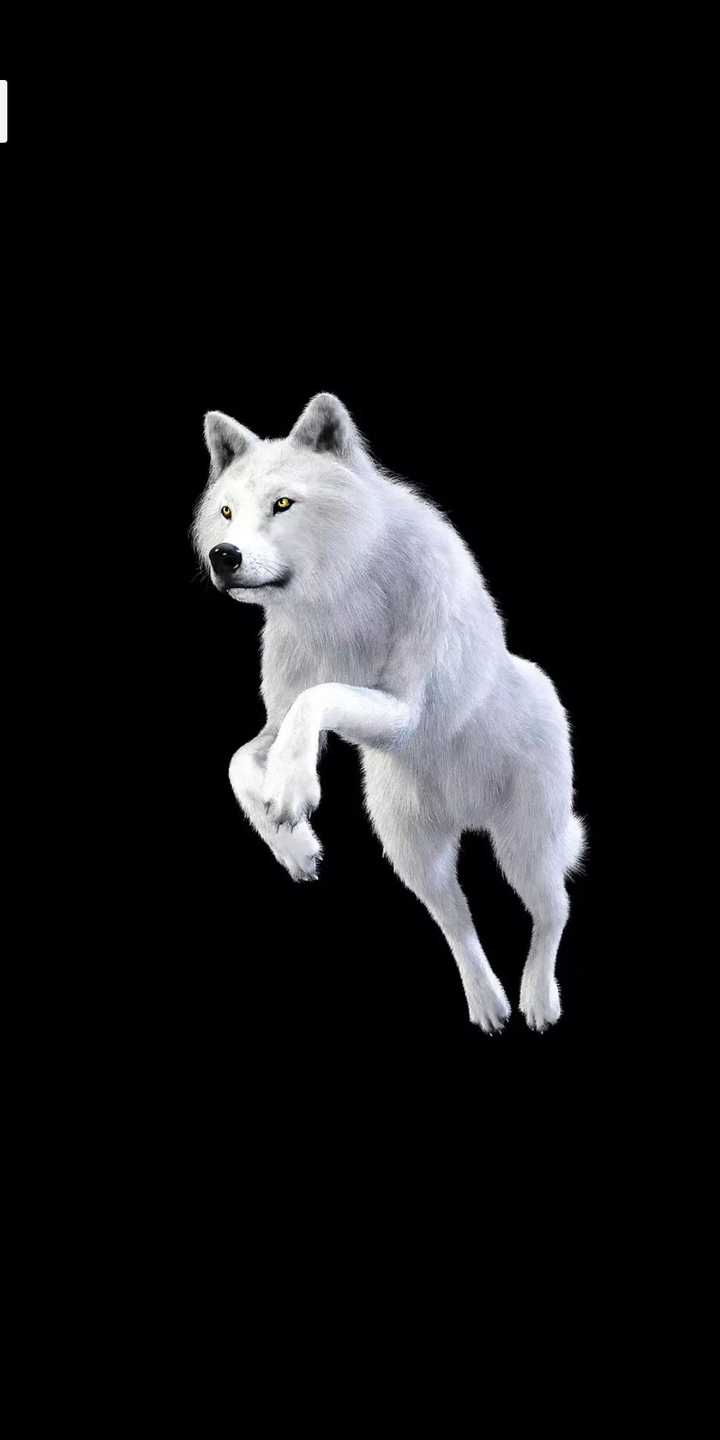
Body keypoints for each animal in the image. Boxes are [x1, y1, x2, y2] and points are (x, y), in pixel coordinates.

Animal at [192, 393, 585, 1032]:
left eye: (282, 503)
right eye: (226, 512)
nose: (223, 557)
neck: (342, 596)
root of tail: (468, 814)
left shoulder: (402, 709)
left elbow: (319, 697)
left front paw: (294, 791)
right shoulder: (277, 722)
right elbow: (238, 761)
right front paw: (295, 844)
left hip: (526, 847)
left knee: (554, 910)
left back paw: (537, 1001)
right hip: (416, 859)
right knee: (457, 922)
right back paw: (489, 1005)